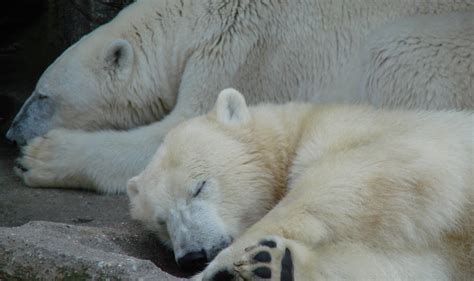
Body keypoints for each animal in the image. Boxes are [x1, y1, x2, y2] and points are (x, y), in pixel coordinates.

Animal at [7, 0, 474, 192]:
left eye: (43, 96)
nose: (11, 134)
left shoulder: (243, 48)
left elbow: (190, 131)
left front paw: (42, 158)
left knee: (393, 51)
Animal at [128, 88, 472, 278]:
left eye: (199, 186)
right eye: (161, 221)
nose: (193, 256)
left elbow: (362, 169)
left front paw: (217, 268)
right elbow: (413, 264)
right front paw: (275, 264)